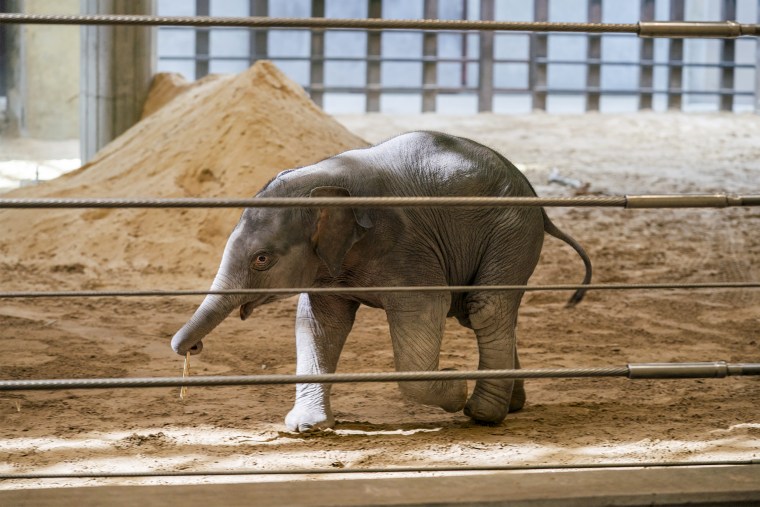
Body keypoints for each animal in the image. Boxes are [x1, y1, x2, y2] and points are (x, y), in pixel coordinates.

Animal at [171, 131, 592, 432]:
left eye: (262, 259)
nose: (191, 347)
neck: (324, 181)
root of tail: (537, 198)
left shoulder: (406, 246)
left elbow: (425, 308)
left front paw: (454, 385)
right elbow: (321, 323)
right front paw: (306, 427)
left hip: (511, 231)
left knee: (486, 308)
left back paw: (482, 413)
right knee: (482, 313)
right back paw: (511, 406)